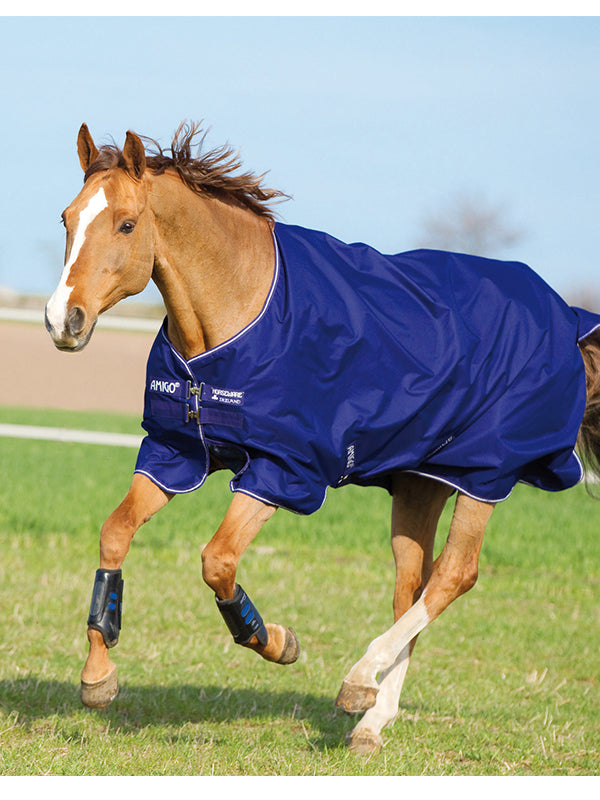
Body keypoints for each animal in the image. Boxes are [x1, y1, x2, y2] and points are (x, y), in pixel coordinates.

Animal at [45, 122, 600, 752]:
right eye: (66, 219)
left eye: (126, 224)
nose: (62, 320)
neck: (241, 310)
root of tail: (566, 318)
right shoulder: (175, 452)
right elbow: (114, 534)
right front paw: (98, 676)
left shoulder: (281, 471)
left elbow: (217, 561)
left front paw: (276, 641)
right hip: (421, 481)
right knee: (413, 584)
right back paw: (372, 721)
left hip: (484, 473)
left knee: (455, 575)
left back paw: (358, 681)